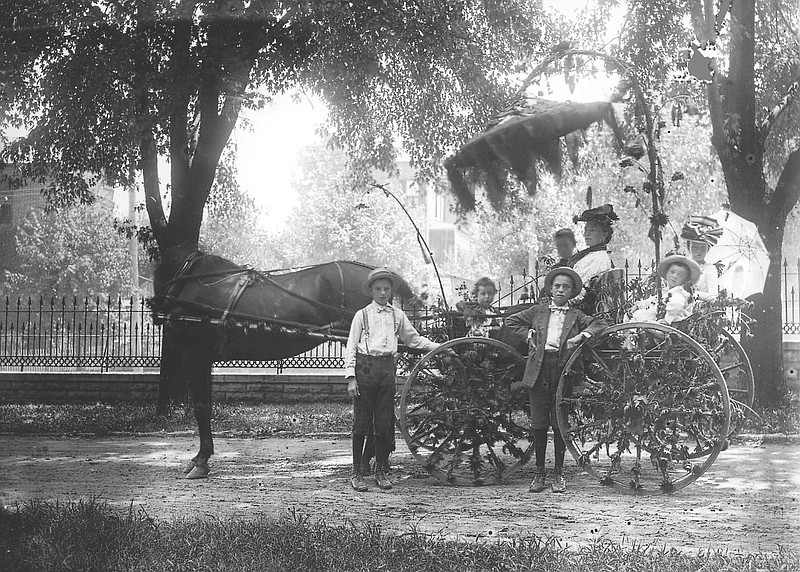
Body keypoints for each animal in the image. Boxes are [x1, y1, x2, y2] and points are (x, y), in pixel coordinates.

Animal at [151, 246, 412, 478]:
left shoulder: (194, 353)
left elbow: (200, 407)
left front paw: (201, 461)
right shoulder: (204, 358)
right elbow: (205, 404)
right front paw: (199, 457)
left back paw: (370, 461)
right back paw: (377, 460)